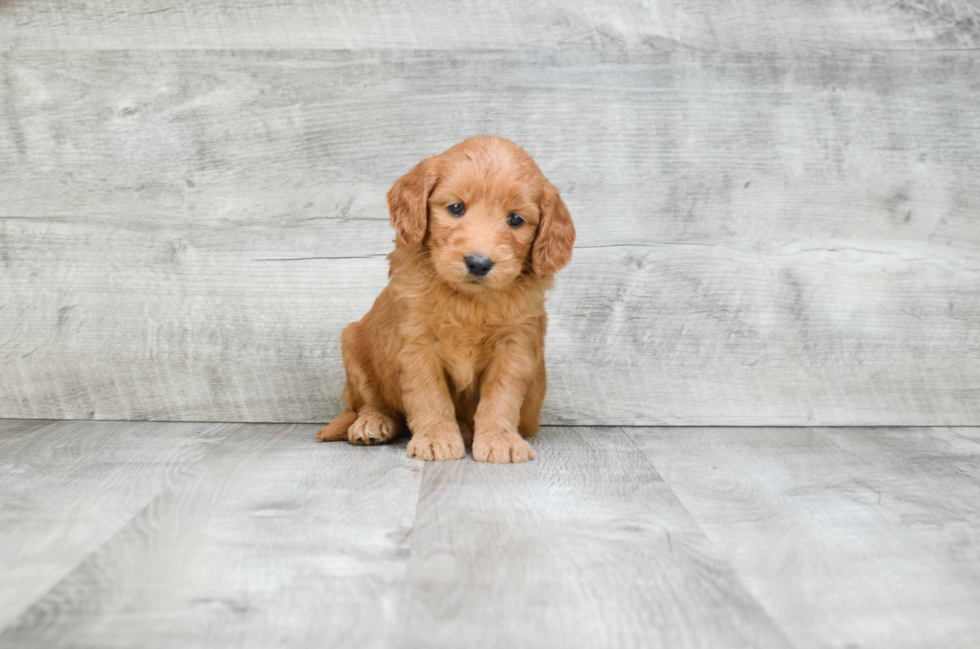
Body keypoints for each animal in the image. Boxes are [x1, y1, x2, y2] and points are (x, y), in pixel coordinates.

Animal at [314, 135, 576, 460]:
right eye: (456, 208)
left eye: (515, 219)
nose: (478, 263)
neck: (467, 301)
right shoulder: (417, 344)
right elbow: (430, 395)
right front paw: (436, 438)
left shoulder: (514, 346)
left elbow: (501, 396)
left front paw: (500, 439)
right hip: (353, 344)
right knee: (370, 403)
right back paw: (373, 423)